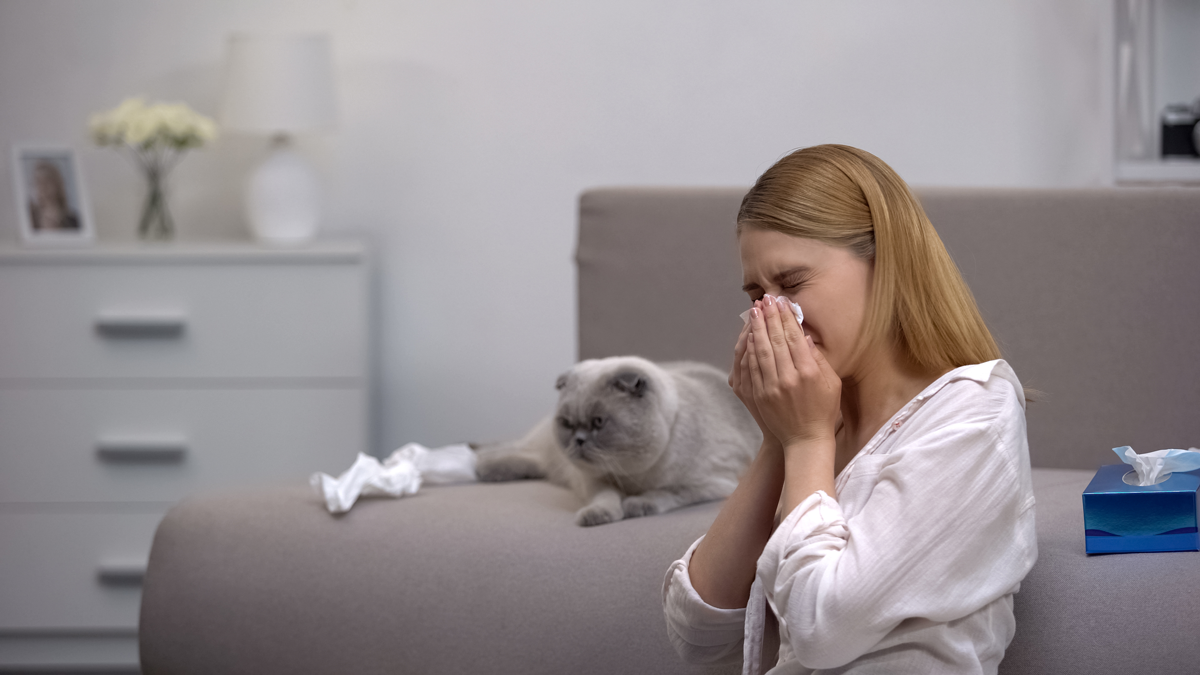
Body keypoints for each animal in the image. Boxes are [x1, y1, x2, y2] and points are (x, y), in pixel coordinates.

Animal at [470, 355, 758, 523]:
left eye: (599, 422)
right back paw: (481, 465)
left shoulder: (714, 484)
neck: (632, 477)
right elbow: (606, 498)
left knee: (534, 461)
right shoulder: (592, 479)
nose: (578, 440)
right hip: (552, 452)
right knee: (519, 450)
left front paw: (635, 505)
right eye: (567, 424)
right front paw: (598, 515)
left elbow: (666, 492)